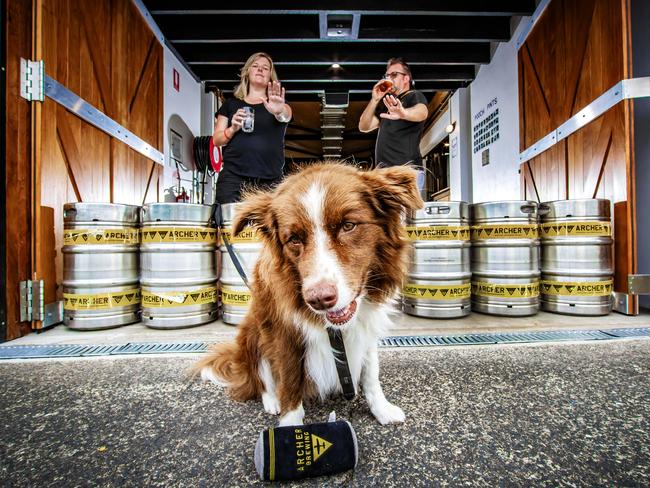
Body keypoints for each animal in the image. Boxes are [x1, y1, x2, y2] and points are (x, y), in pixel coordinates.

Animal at [194, 162, 420, 426]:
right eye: (293, 239)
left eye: (348, 225)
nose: (320, 300)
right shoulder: (283, 331)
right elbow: (289, 379)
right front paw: (290, 424)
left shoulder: (367, 325)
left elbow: (371, 372)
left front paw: (382, 409)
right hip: (253, 333)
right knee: (262, 377)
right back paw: (272, 400)